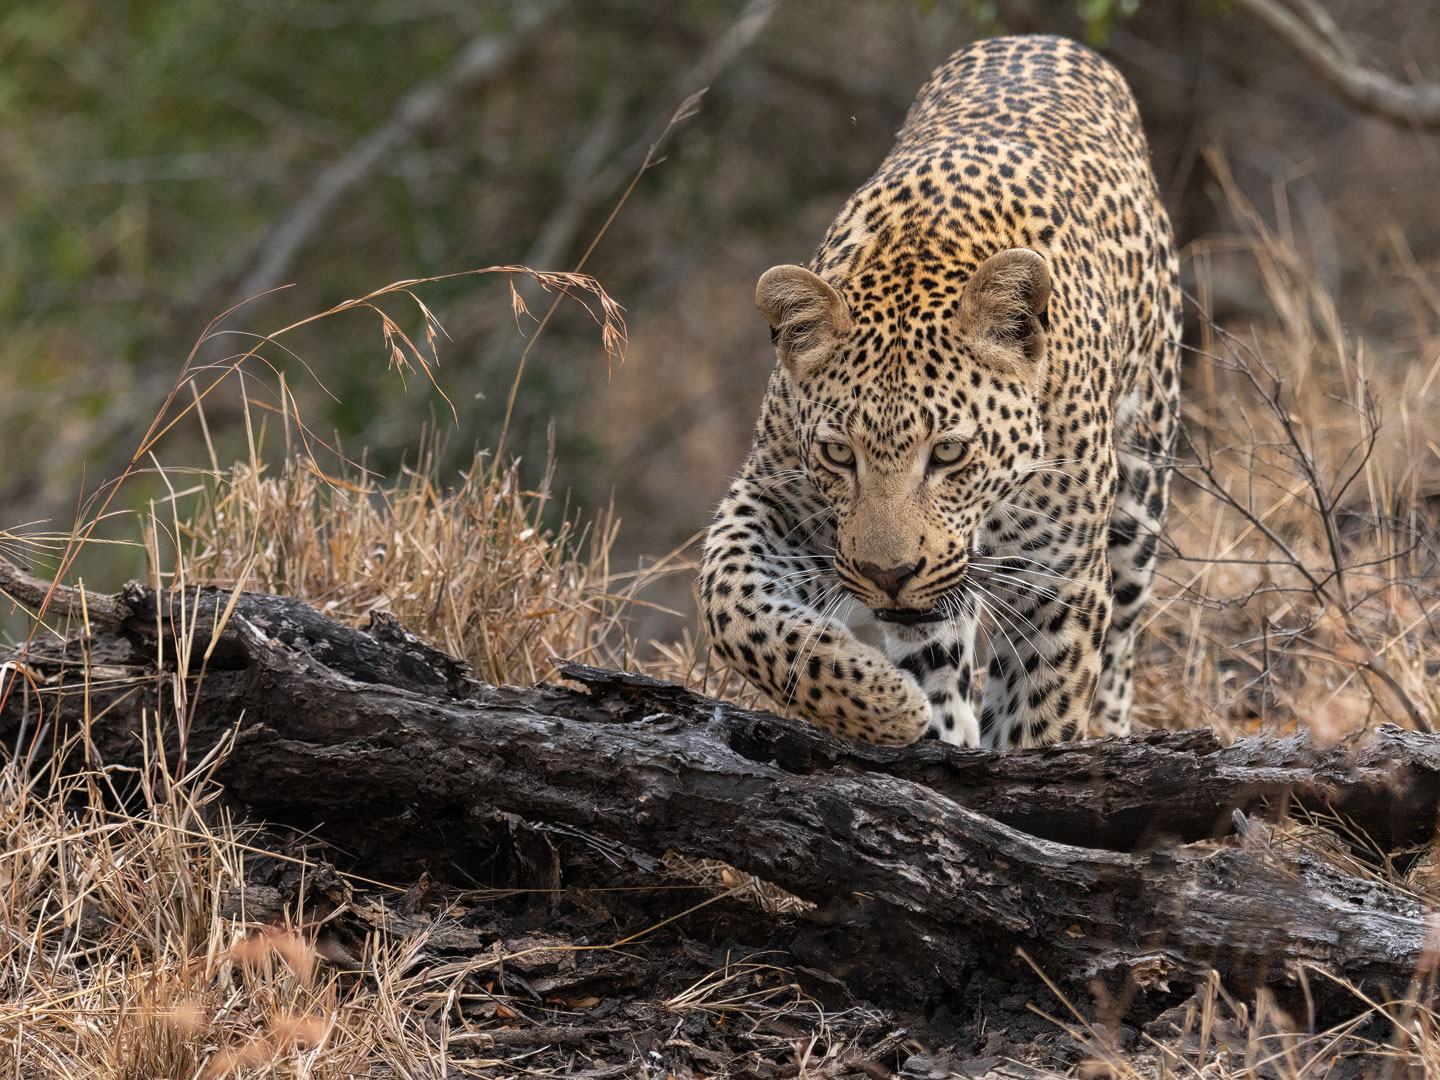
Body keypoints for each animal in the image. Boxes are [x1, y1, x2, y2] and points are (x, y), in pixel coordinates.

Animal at [696, 38, 1180, 754]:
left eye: (950, 453)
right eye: (838, 455)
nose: (888, 575)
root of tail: (1041, 39)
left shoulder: (1058, 581)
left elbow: (1039, 720)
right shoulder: (776, 494)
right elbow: (728, 602)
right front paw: (884, 704)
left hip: (1140, 489)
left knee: (1120, 643)